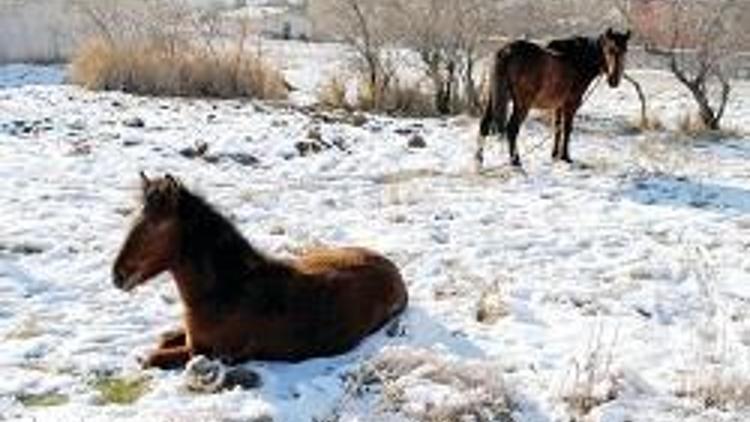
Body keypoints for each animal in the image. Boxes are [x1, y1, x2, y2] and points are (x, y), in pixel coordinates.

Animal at [110, 173, 412, 368]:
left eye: (154, 226)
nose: (117, 275)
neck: (230, 290)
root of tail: (395, 273)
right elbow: (163, 340)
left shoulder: (206, 352)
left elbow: (153, 357)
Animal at [478, 27, 632, 170]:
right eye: (609, 50)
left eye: (625, 50)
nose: (614, 80)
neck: (578, 60)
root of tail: (506, 51)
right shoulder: (571, 104)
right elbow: (567, 128)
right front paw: (565, 157)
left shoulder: (557, 105)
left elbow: (557, 127)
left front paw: (555, 155)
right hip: (522, 104)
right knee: (512, 129)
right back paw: (516, 162)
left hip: (494, 98)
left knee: (484, 126)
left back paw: (478, 161)